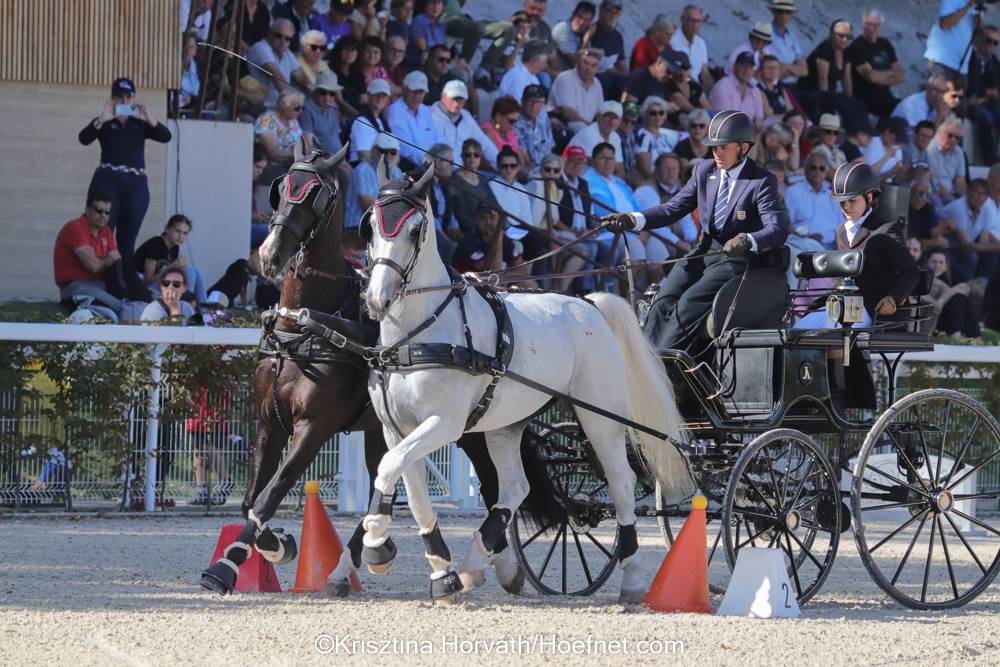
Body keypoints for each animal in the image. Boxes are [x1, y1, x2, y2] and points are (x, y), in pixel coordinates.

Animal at [201, 143, 524, 597]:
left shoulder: (313, 427)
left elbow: (271, 493)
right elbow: (252, 501)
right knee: (382, 481)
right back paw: (357, 562)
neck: (301, 327)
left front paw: (231, 565)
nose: (270, 254)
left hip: (472, 430)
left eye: (316, 194)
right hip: (382, 428)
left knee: (496, 487)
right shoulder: (269, 422)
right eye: (281, 188)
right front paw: (272, 546)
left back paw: (500, 565)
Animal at [358, 164, 693, 604]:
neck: (418, 334)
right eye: (370, 226)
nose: (377, 299)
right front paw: (440, 574)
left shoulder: (444, 424)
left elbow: (387, 468)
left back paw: (634, 581)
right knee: (515, 487)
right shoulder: (396, 428)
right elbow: (409, 489)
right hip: (506, 425)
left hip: (600, 418)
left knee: (621, 483)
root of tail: (589, 304)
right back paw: (473, 564)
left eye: (415, 230)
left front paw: (376, 544)